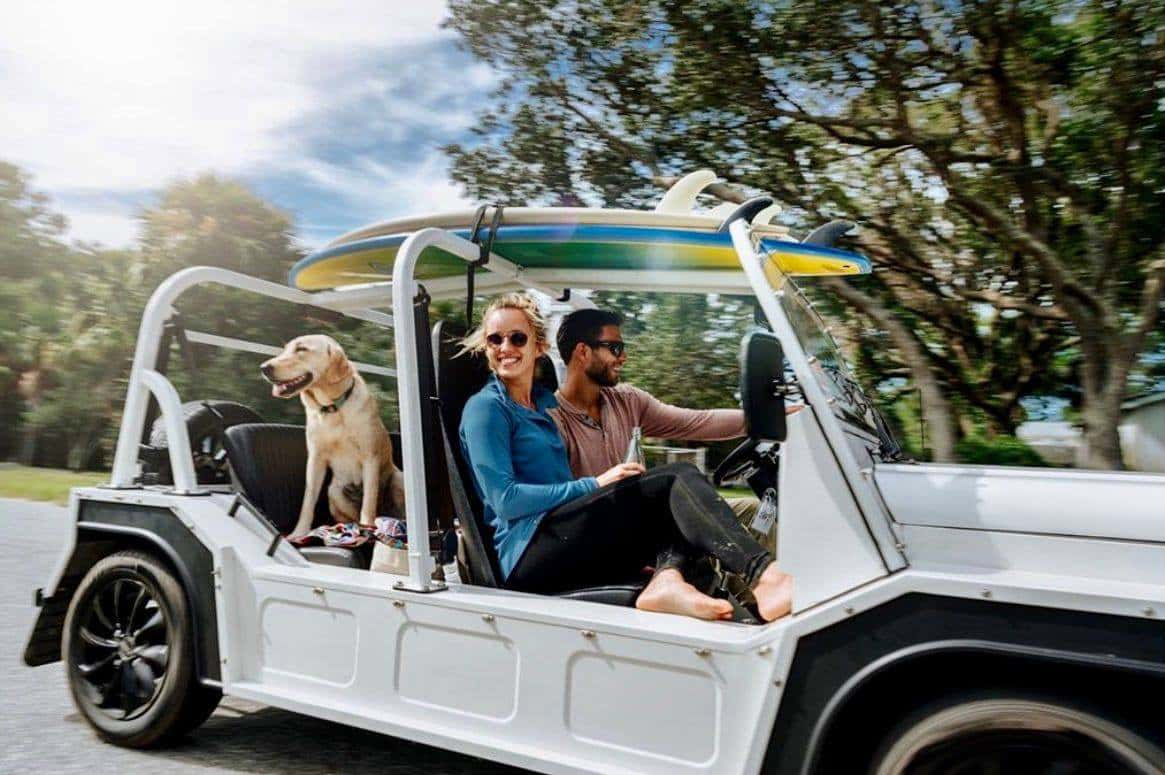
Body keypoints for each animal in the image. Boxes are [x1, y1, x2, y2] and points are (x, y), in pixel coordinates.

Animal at [259, 333, 405, 538]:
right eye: (285, 349)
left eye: (301, 349)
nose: (264, 368)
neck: (333, 409)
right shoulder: (316, 459)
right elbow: (308, 500)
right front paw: (299, 532)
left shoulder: (370, 458)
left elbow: (368, 503)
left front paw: (368, 529)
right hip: (334, 491)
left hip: (398, 481)